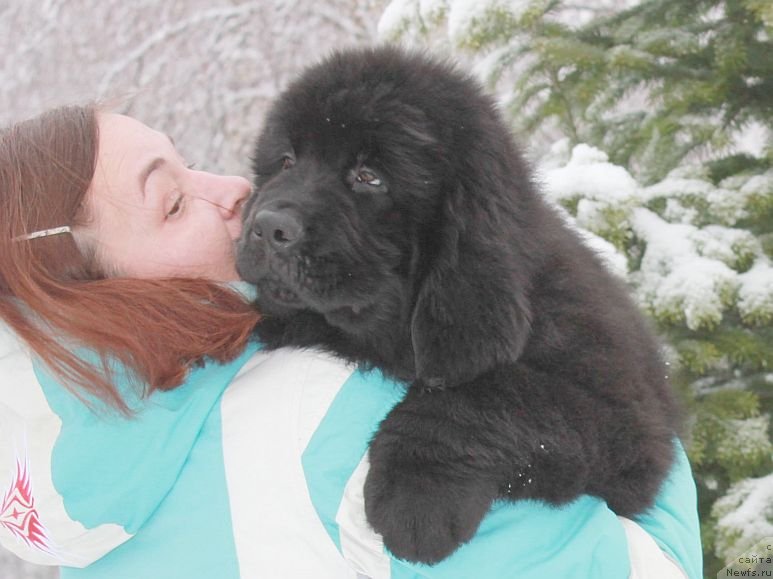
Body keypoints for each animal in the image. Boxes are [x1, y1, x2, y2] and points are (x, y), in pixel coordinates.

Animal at [234, 46, 676, 568]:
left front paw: (415, 499)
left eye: (368, 177)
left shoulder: (629, 420)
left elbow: (494, 393)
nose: (268, 227)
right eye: (285, 161)